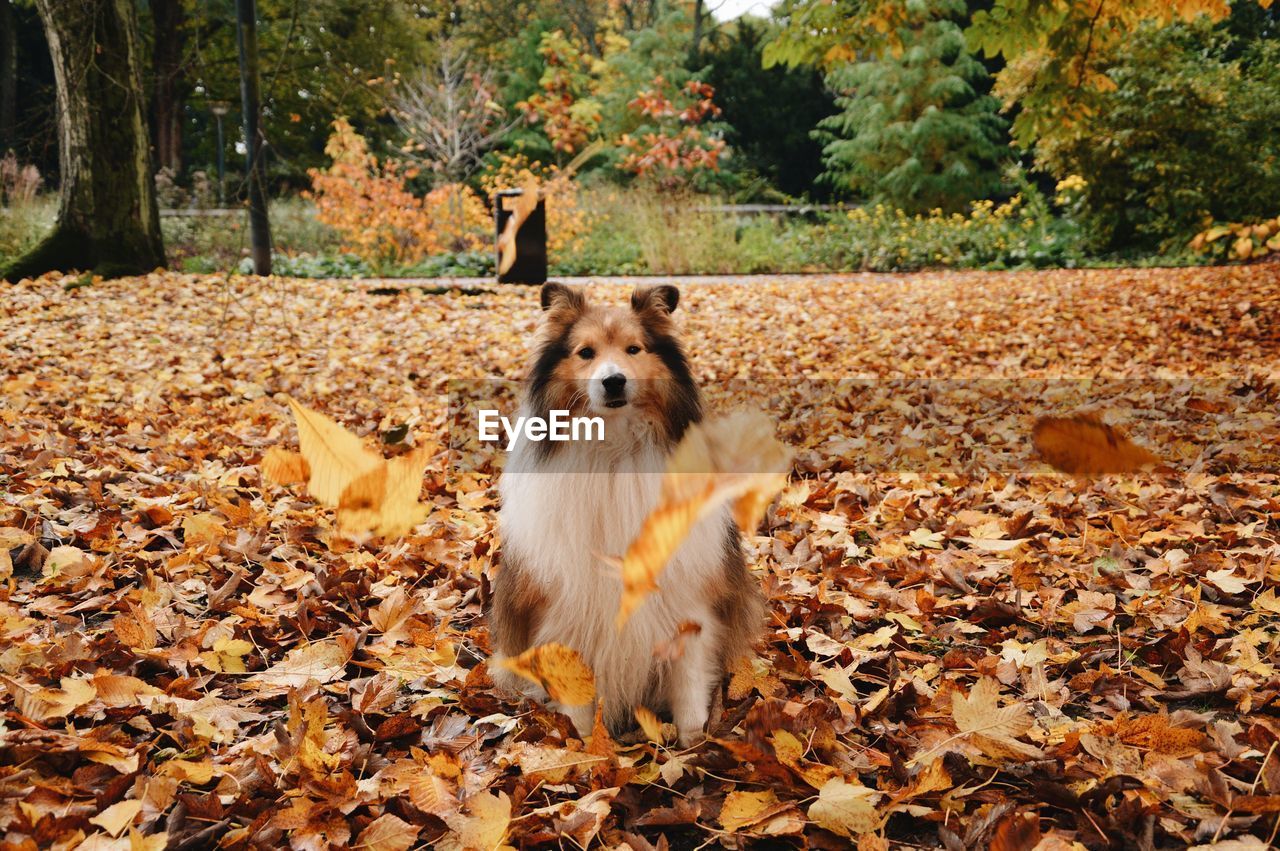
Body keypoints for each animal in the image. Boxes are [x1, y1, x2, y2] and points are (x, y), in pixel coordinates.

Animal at [486, 280, 757, 742]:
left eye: (634, 348)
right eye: (585, 352)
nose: (613, 382)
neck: (612, 450)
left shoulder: (687, 601)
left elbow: (688, 692)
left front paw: (693, 747)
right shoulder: (568, 611)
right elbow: (577, 706)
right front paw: (582, 749)